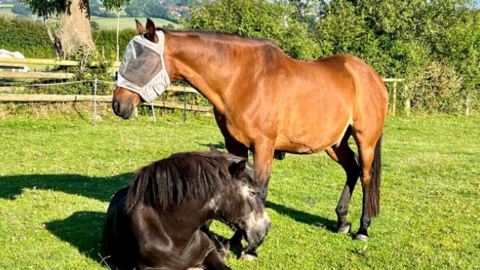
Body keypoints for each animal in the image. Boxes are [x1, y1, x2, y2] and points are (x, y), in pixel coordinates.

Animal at [113, 19, 390, 243]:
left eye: (141, 60)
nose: (118, 104)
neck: (242, 79)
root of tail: (371, 75)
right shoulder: (235, 144)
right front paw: (235, 239)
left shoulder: (264, 145)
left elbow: (259, 190)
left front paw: (244, 244)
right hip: (335, 143)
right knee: (352, 169)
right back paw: (342, 222)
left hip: (365, 139)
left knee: (365, 176)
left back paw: (363, 229)